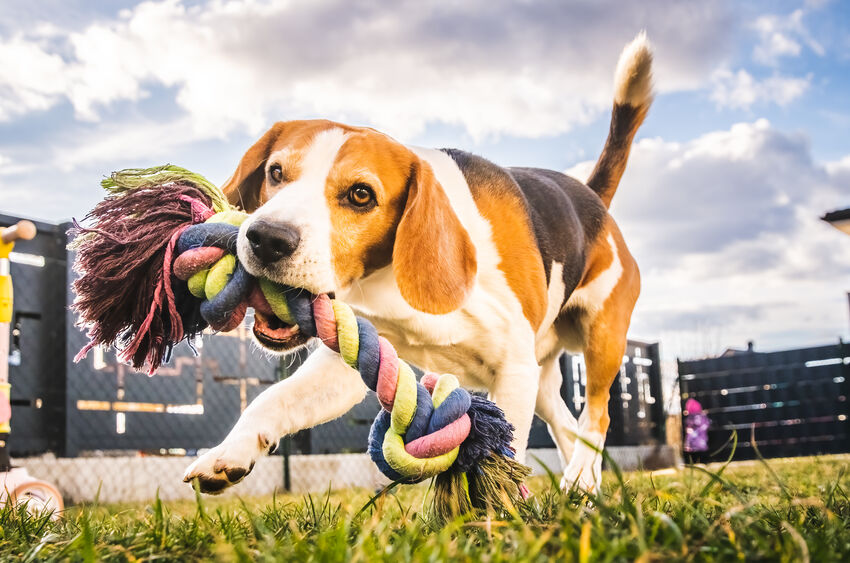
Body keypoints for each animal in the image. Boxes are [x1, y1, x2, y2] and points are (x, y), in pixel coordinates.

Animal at [184, 34, 648, 494]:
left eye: (360, 194)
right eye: (276, 172)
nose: (267, 239)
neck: (389, 281)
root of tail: (592, 199)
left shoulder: (513, 370)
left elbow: (504, 455)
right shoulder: (353, 357)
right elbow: (273, 398)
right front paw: (229, 452)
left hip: (601, 339)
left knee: (598, 415)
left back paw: (580, 478)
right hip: (544, 377)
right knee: (568, 424)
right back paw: (582, 490)